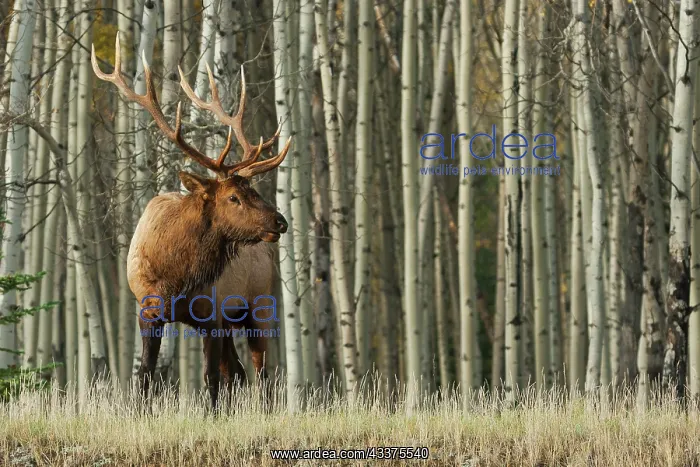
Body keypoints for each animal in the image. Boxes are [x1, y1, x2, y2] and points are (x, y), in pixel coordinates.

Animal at [91, 36, 292, 411]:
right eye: (234, 197)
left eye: (254, 190)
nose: (280, 221)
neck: (177, 276)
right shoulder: (149, 309)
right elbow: (146, 375)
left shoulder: (211, 315)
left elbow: (211, 379)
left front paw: (212, 416)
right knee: (237, 372)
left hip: (258, 307)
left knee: (260, 372)